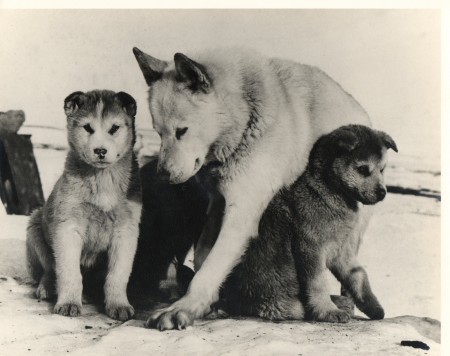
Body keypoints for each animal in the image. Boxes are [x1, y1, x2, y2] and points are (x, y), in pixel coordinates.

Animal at [25, 89, 141, 320]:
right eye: (88, 127)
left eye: (114, 128)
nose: (100, 150)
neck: (101, 178)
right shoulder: (67, 228)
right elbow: (68, 271)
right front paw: (69, 303)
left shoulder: (126, 231)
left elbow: (117, 274)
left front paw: (119, 305)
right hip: (34, 228)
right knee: (49, 269)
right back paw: (47, 288)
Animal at [221, 125, 398, 322]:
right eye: (363, 169)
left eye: (382, 170)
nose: (383, 192)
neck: (327, 191)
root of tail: (235, 304)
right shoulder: (311, 248)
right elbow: (318, 284)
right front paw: (327, 311)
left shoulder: (341, 251)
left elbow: (358, 276)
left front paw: (373, 307)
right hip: (281, 303)